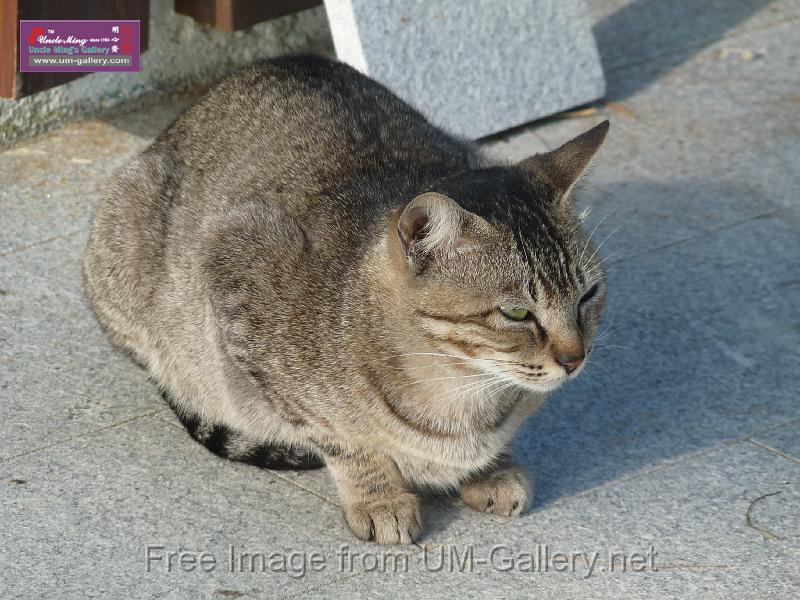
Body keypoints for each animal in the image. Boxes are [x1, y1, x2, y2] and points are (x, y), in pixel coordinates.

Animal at [84, 55, 608, 544]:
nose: (576, 359)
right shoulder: (237, 275)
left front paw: (490, 468)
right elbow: (343, 441)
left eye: (589, 295)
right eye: (517, 312)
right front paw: (379, 497)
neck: (460, 393)